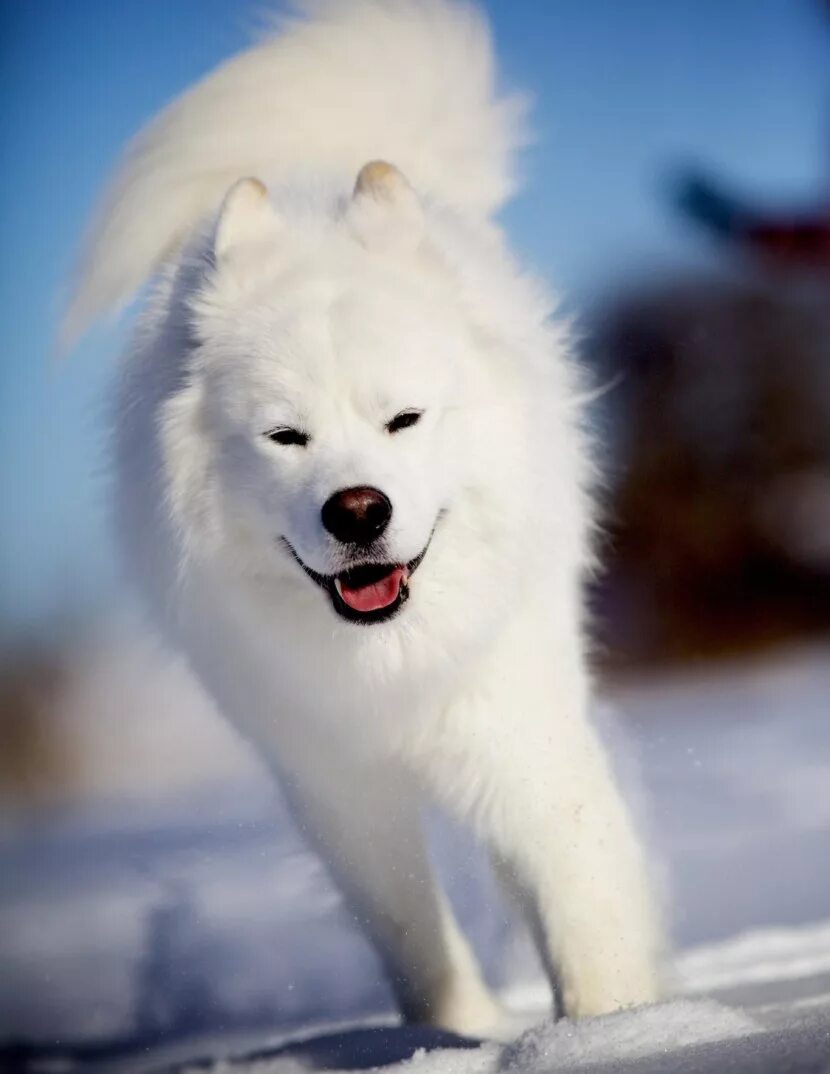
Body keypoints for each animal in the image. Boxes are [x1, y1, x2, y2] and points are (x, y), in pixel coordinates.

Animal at [64, 0, 661, 1039]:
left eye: (403, 420)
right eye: (285, 436)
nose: (356, 511)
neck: (389, 666)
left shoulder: (521, 734)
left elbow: (583, 904)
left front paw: (616, 1033)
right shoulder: (334, 782)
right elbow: (409, 927)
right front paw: (457, 1039)